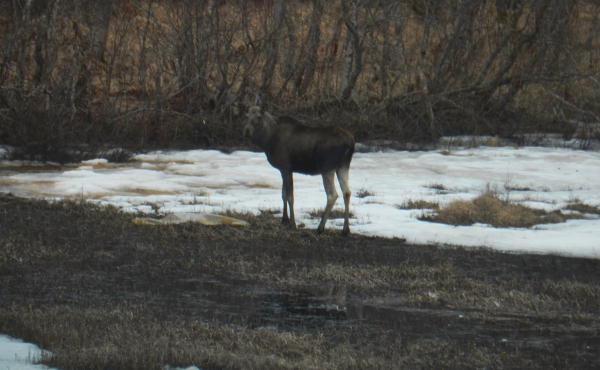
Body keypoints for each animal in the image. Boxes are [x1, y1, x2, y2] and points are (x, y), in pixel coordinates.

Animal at [244, 105, 356, 236]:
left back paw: (320, 228)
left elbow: (290, 196)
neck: (267, 141)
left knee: (332, 194)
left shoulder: (285, 167)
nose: (247, 132)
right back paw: (345, 229)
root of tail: (350, 143)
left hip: (327, 167)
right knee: (347, 192)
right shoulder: (284, 169)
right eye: (246, 116)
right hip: (343, 166)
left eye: (259, 117)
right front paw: (284, 219)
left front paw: (292, 224)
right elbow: (283, 194)